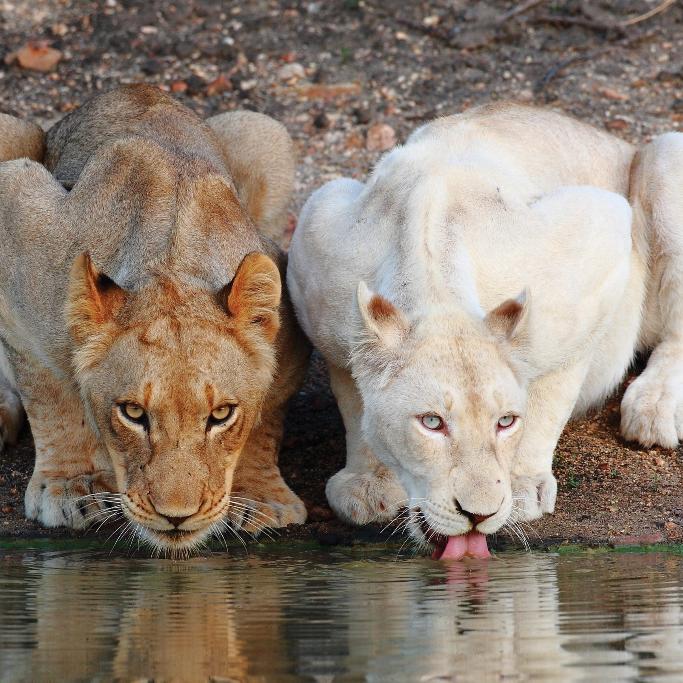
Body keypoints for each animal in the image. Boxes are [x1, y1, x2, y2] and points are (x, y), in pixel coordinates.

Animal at [288, 103, 683, 560]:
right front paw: (368, 484)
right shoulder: (316, 246)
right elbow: (352, 395)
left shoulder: (600, 240)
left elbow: (552, 392)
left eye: (505, 422)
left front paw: (523, 487)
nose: (478, 514)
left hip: (664, 158)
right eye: (432, 422)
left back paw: (654, 410)